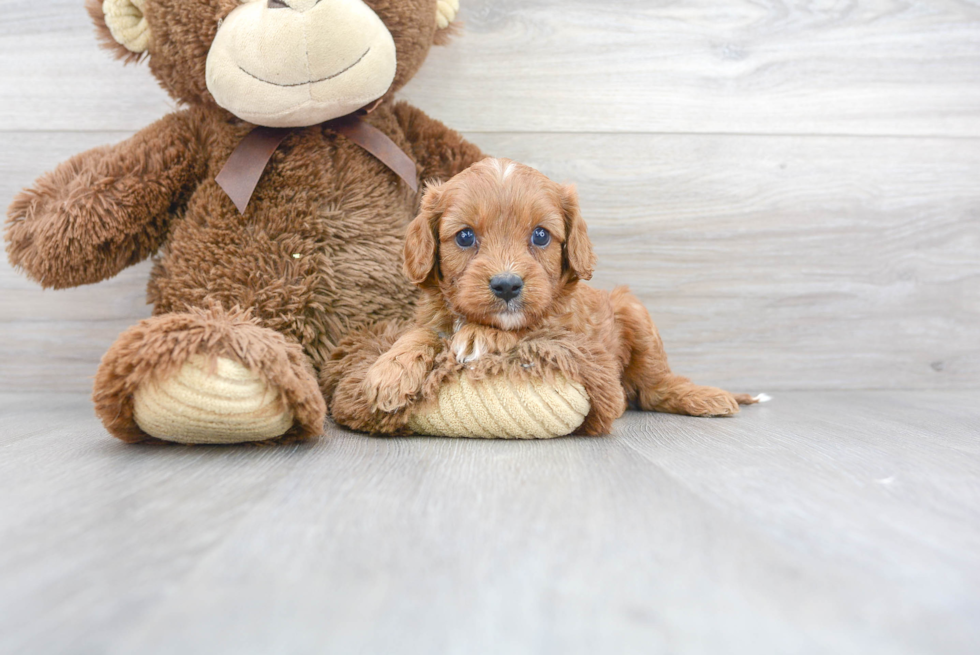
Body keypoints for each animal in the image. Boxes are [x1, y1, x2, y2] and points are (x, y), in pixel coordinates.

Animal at [364, 159, 760, 436]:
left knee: (654, 387)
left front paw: (480, 335)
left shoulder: (570, 332)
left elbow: (527, 329)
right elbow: (420, 333)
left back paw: (704, 396)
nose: (507, 286)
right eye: (464, 237)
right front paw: (388, 372)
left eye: (540, 235)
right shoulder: (433, 316)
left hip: (633, 310)